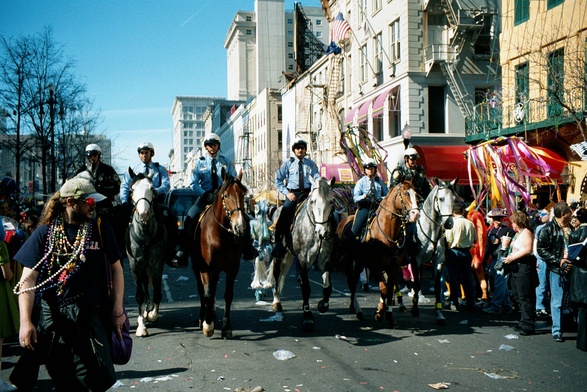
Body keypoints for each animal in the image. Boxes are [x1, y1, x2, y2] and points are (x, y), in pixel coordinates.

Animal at [192, 170, 249, 338]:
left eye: (243, 194)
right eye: (226, 196)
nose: (240, 227)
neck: (222, 234)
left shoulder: (232, 268)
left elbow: (228, 295)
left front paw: (226, 327)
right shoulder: (205, 268)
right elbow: (207, 294)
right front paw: (208, 325)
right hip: (197, 266)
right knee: (202, 291)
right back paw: (203, 317)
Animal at [336, 181, 418, 328]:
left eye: (415, 193)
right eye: (405, 193)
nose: (416, 214)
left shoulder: (394, 267)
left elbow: (389, 289)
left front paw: (389, 315)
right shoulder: (375, 266)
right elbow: (384, 288)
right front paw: (379, 313)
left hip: (360, 262)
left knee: (353, 282)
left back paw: (354, 307)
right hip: (351, 262)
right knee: (352, 282)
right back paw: (358, 310)